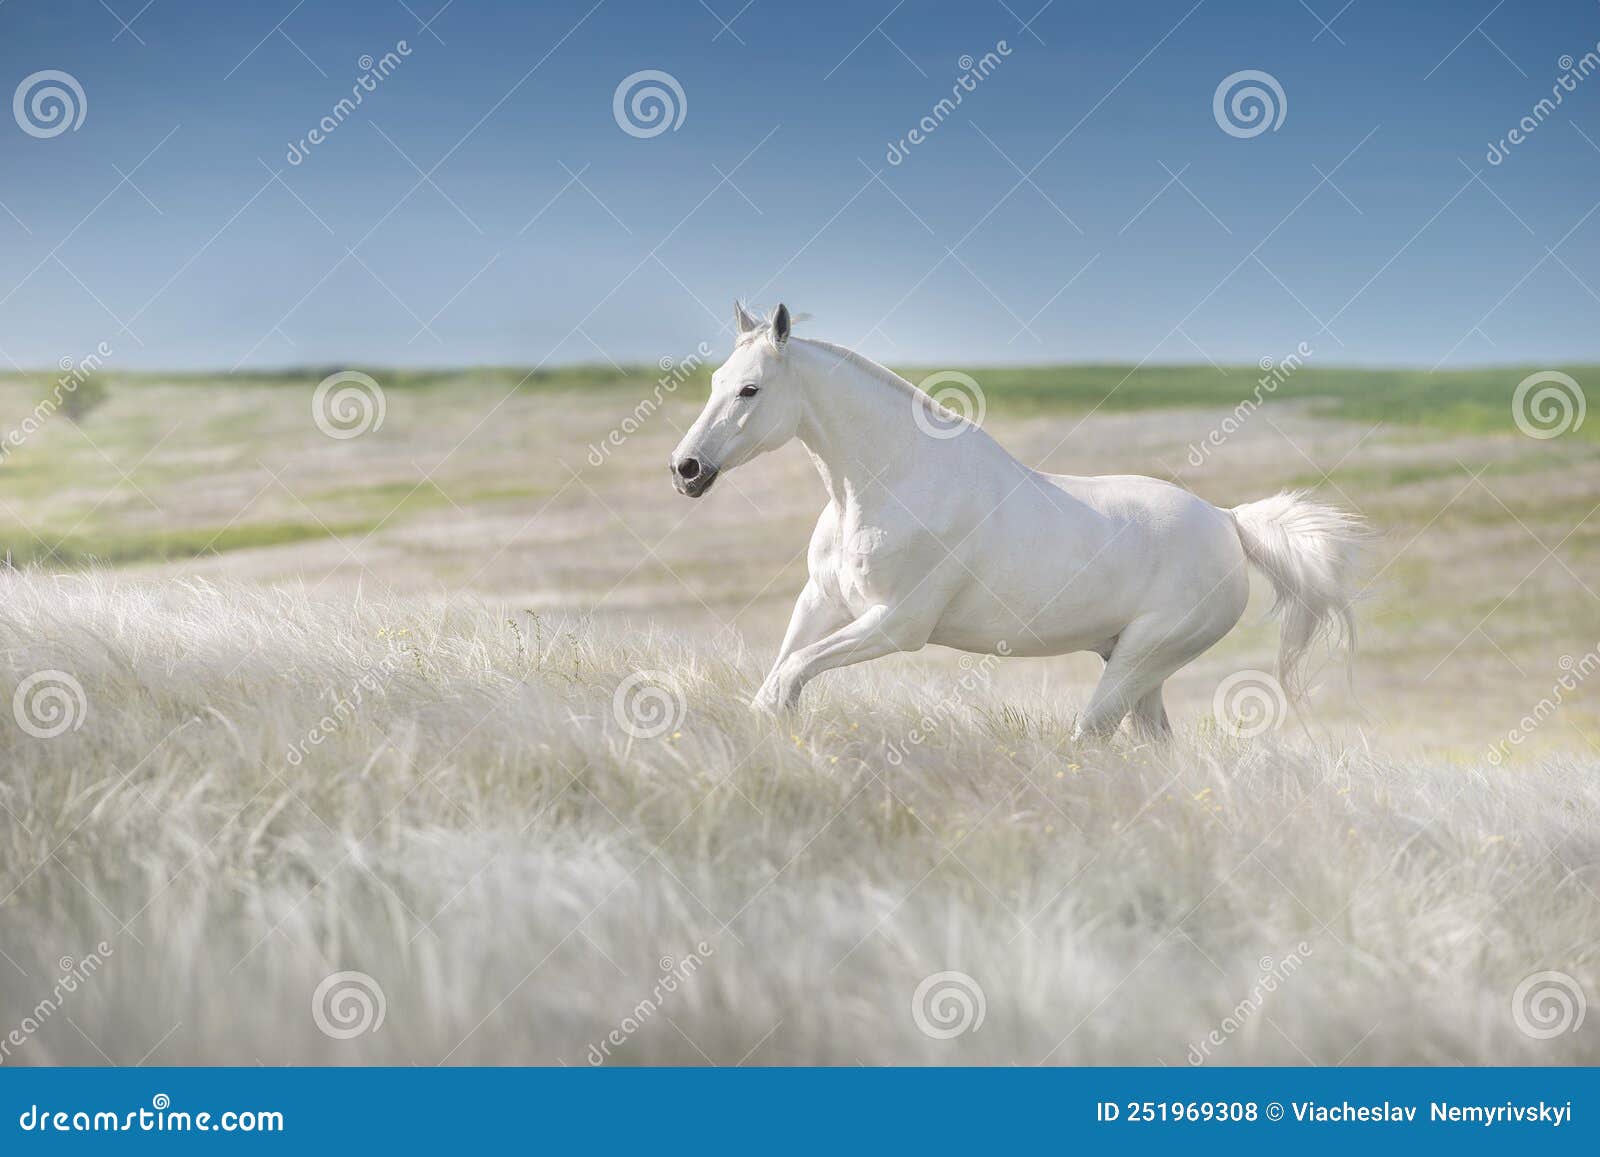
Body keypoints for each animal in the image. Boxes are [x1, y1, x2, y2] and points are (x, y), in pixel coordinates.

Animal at [668, 305, 1369, 742]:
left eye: (751, 390)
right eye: (715, 380)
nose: (686, 469)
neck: (888, 485)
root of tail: (1228, 523)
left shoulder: (897, 626)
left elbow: (787, 678)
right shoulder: (822, 603)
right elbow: (778, 675)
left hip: (1139, 660)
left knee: (1091, 737)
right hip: (1142, 673)